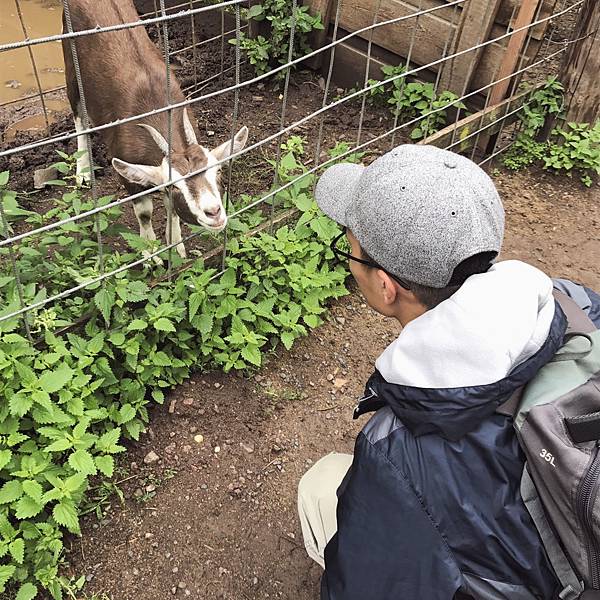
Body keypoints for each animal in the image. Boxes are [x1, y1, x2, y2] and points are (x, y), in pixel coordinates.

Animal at [62, 1, 247, 262]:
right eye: (175, 185)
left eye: (218, 172)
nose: (214, 212)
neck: (156, 107)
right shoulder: (127, 172)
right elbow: (145, 213)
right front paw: (150, 254)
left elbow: (172, 210)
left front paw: (176, 246)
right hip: (71, 67)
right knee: (79, 117)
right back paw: (84, 171)